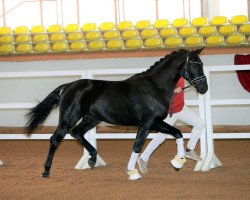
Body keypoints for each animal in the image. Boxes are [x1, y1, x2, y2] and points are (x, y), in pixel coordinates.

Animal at [26, 47, 208, 179]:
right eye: (194, 64)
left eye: (201, 64)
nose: (203, 88)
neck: (154, 88)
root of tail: (68, 86)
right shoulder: (149, 122)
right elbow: (141, 144)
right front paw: (134, 172)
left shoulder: (151, 124)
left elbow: (174, 134)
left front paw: (177, 163)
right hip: (68, 118)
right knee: (55, 139)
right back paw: (46, 171)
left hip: (91, 119)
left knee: (77, 133)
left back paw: (92, 159)